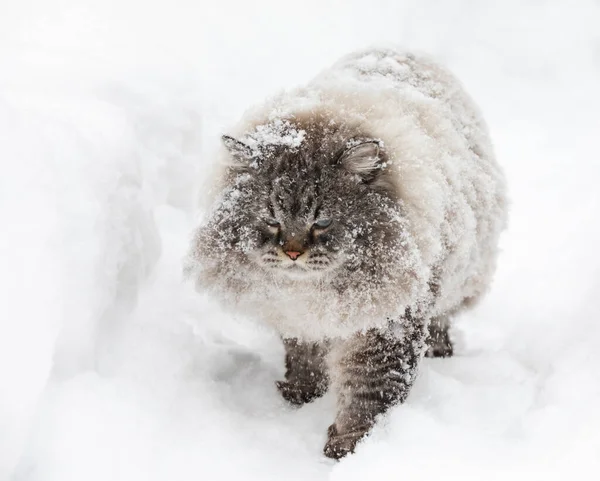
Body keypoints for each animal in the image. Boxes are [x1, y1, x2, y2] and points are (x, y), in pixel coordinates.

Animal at [186, 47, 506, 458]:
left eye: (321, 222)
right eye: (272, 220)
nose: (292, 253)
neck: (314, 292)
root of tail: (402, 51)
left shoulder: (384, 325)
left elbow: (366, 395)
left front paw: (349, 446)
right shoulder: (299, 319)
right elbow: (305, 361)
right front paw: (302, 395)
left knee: (441, 324)